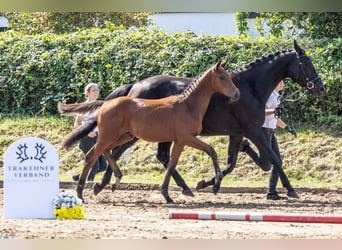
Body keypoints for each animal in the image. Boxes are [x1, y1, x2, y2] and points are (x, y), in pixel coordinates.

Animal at [91, 40, 326, 199]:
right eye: (306, 62)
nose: (320, 88)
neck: (250, 87)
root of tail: (135, 86)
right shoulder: (253, 130)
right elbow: (273, 160)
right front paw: (292, 189)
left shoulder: (237, 133)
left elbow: (231, 163)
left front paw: (207, 183)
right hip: (136, 134)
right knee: (117, 151)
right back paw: (104, 183)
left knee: (154, 156)